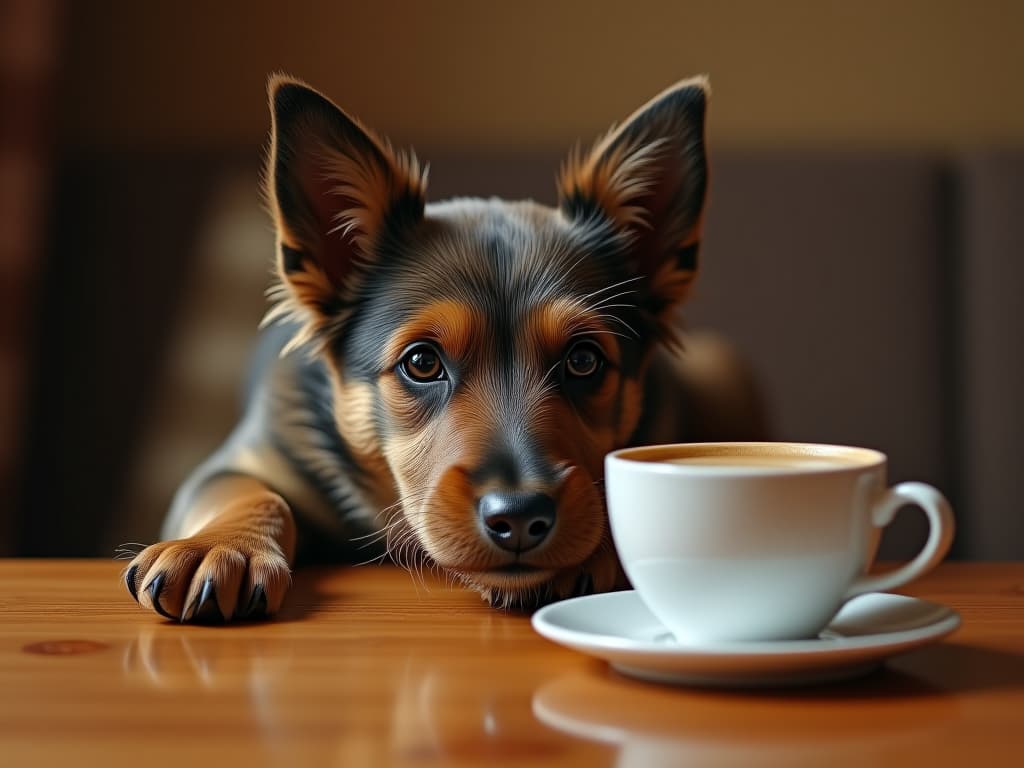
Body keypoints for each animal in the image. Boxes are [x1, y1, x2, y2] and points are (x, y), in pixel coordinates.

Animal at [121, 75, 761, 622]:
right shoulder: (241, 460)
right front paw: (217, 547)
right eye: (422, 362)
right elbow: (245, 491)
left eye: (584, 361)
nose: (521, 519)